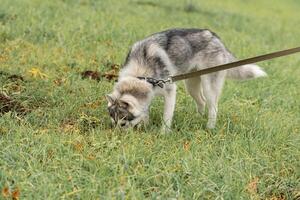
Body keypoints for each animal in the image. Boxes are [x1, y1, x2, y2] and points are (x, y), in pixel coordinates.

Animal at [106, 28, 268, 131]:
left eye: (123, 124)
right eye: (113, 123)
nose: (116, 135)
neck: (140, 75)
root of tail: (216, 38)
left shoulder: (170, 90)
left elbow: (167, 117)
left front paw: (163, 133)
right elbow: (145, 111)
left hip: (209, 86)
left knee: (213, 107)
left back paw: (209, 127)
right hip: (191, 84)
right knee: (202, 102)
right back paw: (197, 118)